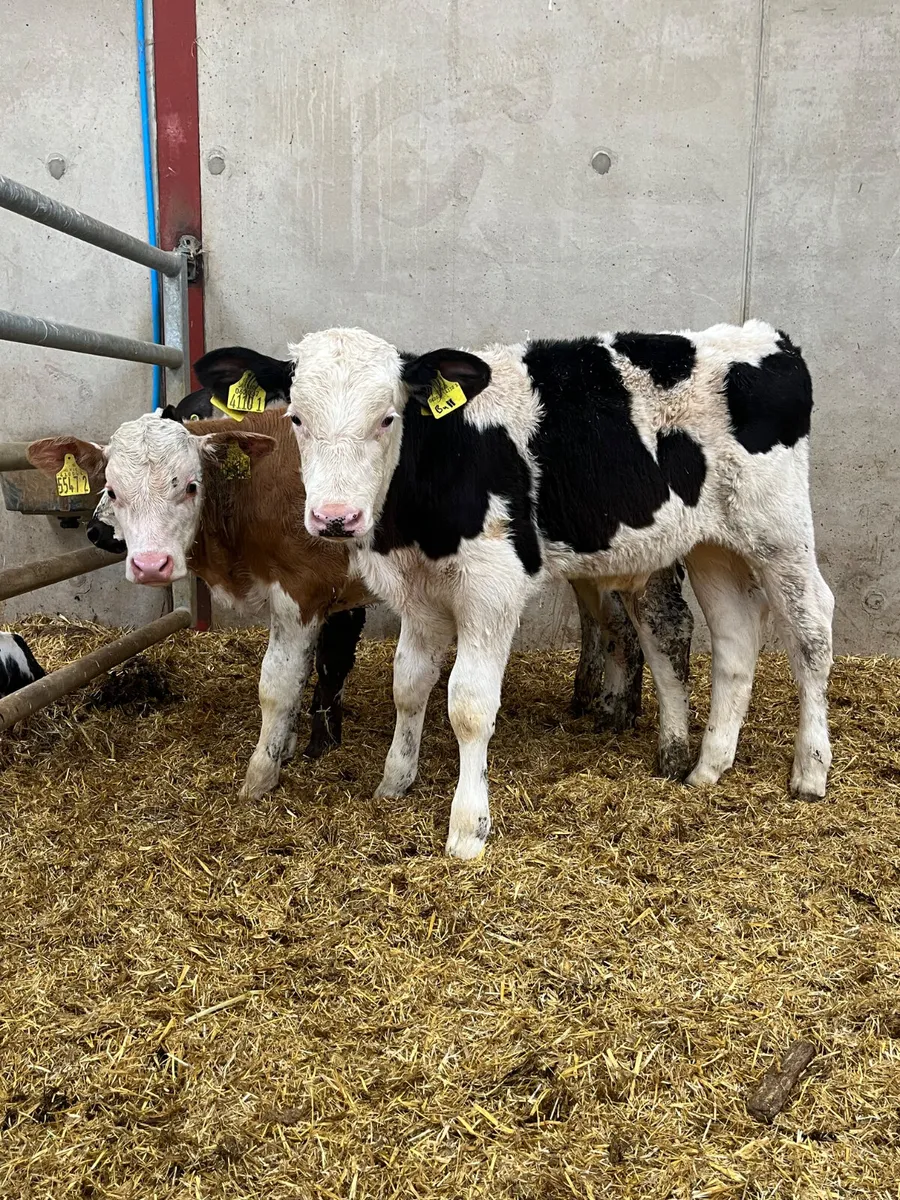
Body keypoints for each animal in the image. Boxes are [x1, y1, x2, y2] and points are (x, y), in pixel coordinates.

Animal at [188, 327, 831, 865]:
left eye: (388, 418)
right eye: (296, 418)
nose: (335, 518)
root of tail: (766, 337)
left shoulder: (492, 587)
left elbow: (469, 705)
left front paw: (467, 827)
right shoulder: (419, 593)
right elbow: (408, 687)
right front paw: (395, 782)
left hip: (780, 533)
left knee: (813, 632)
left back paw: (810, 770)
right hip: (713, 547)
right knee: (736, 640)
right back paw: (708, 767)